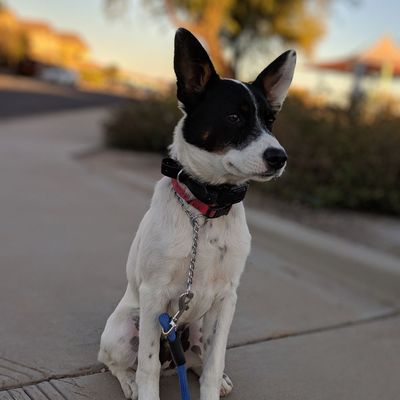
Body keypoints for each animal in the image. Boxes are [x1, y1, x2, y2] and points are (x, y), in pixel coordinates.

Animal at [98, 28, 296, 400]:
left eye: (271, 121)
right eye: (234, 117)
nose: (280, 157)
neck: (206, 209)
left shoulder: (227, 299)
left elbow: (214, 364)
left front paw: (213, 382)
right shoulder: (154, 296)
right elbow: (146, 367)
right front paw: (143, 387)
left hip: (200, 327)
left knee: (196, 359)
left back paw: (211, 375)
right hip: (125, 325)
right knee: (116, 361)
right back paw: (129, 382)